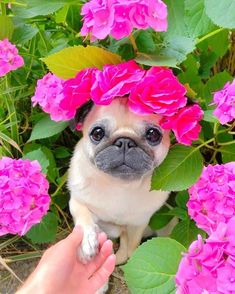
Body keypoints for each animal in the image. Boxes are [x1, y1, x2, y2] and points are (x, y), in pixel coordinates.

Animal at [67, 97, 170, 268]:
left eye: (153, 135)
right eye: (97, 133)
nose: (125, 141)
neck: (119, 185)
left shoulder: (138, 223)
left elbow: (133, 246)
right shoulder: (77, 201)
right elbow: (83, 217)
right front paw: (86, 241)